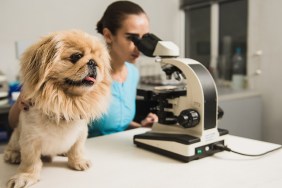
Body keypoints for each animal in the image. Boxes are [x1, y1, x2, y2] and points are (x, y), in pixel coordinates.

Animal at [3, 30, 111, 187]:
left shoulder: (81, 133)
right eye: (76, 56)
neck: (64, 102)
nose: (93, 62)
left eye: (99, 60)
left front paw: (78, 162)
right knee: (13, 146)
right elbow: (30, 161)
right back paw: (13, 154)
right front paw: (25, 176)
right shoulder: (30, 140)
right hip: (16, 135)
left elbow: (77, 149)